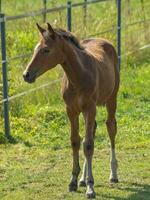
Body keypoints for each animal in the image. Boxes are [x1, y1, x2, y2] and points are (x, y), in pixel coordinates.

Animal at [23, 23, 119, 198]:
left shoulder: (90, 108)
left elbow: (88, 144)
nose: (26, 75)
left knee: (111, 127)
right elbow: (76, 141)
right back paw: (82, 179)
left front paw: (90, 186)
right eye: (35, 48)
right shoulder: (71, 110)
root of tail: (104, 41)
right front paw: (74, 181)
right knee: (93, 130)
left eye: (46, 50)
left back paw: (113, 174)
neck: (78, 76)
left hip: (111, 99)